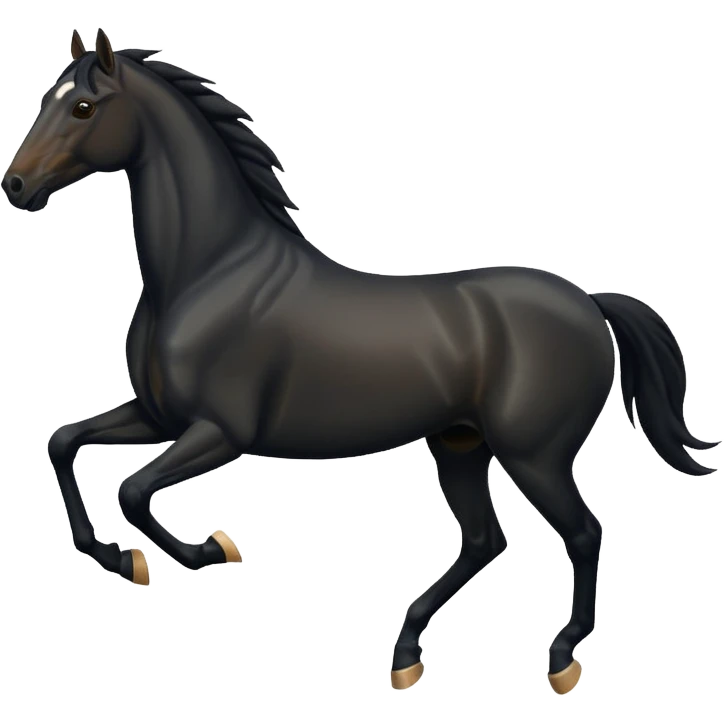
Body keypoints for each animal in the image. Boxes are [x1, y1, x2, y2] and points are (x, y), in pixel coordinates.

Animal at [6, 29, 718, 695]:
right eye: (45, 99)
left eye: (84, 107)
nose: (16, 186)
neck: (208, 274)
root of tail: (590, 301)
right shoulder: (159, 417)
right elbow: (65, 444)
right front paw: (125, 559)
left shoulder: (220, 432)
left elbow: (133, 490)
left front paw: (209, 548)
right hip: (460, 445)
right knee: (485, 541)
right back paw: (405, 656)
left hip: (534, 455)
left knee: (583, 533)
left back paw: (561, 659)